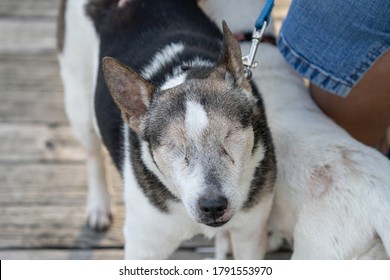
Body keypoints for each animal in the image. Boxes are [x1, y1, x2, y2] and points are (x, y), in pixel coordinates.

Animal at [58, 0, 278, 260]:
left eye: (230, 136)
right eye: (174, 147)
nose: (213, 206)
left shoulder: (250, 234)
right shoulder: (144, 246)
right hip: (78, 98)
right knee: (92, 152)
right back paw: (98, 206)